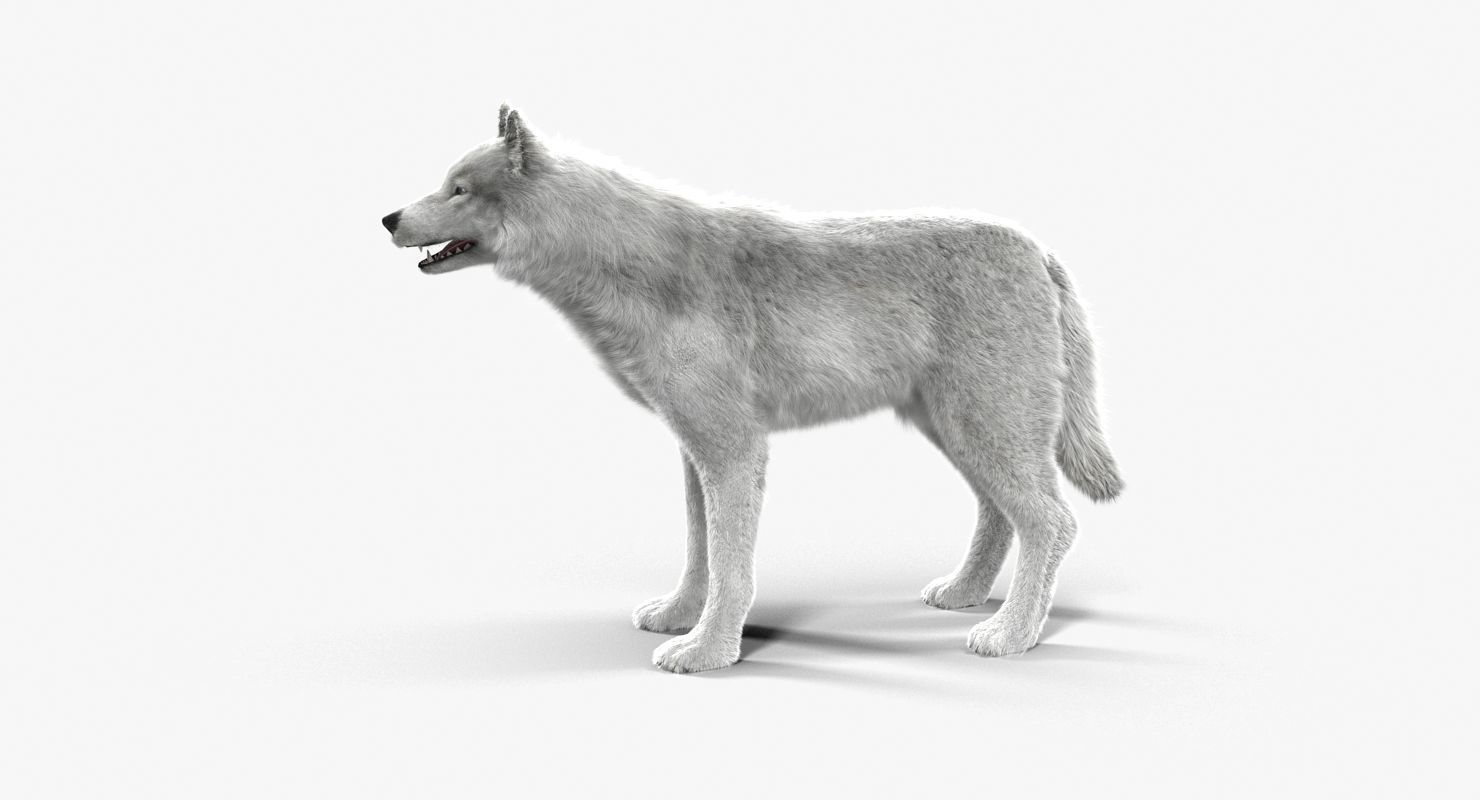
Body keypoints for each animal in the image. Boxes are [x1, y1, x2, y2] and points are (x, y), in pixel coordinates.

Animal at [381, 105, 1123, 673]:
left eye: (458, 189)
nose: (388, 218)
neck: (625, 266)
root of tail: (1039, 250)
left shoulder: (733, 448)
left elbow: (730, 566)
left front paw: (707, 653)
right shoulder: (695, 448)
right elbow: (699, 551)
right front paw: (678, 617)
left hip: (985, 429)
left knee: (1051, 521)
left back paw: (1010, 636)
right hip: (961, 432)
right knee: (1001, 515)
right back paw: (965, 595)